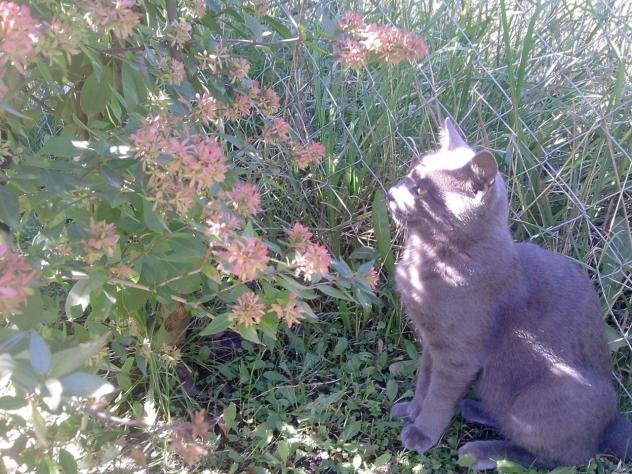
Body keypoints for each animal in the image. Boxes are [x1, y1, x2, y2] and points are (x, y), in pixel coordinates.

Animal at [387, 118, 632, 470]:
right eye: (410, 175)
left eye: (422, 190)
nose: (392, 193)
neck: (429, 255)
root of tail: (612, 422)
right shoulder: (432, 345)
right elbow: (424, 383)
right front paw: (410, 411)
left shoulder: (458, 355)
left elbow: (438, 396)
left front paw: (421, 432)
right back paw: (475, 409)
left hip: (543, 396)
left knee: (558, 457)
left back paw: (481, 451)